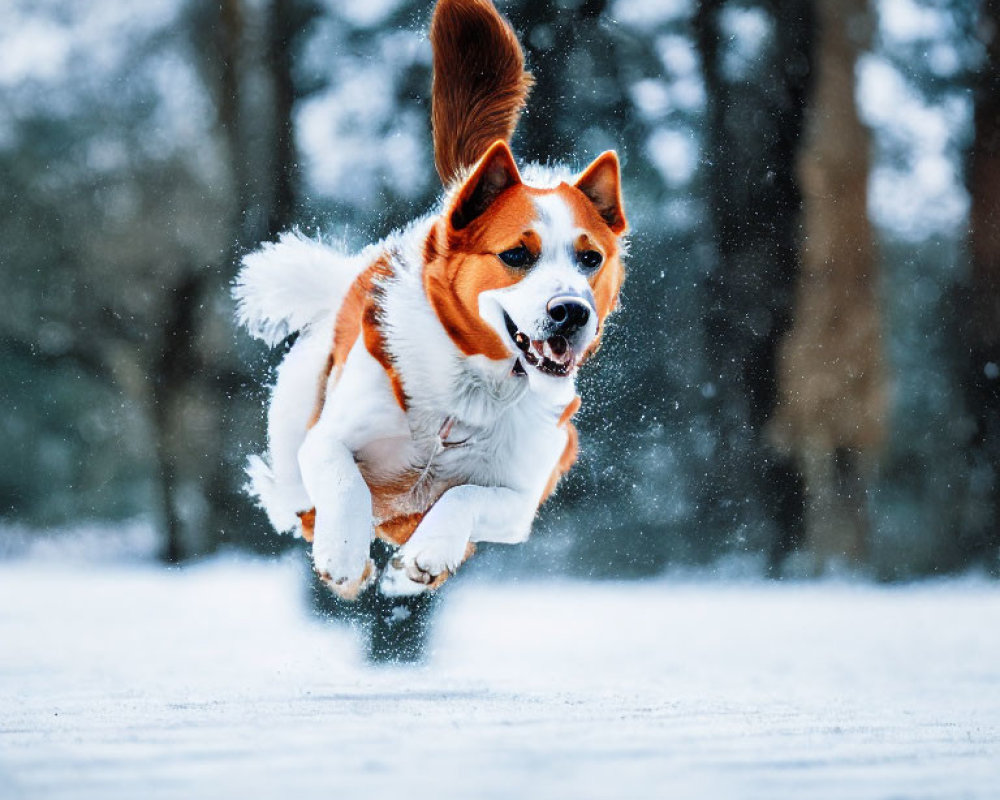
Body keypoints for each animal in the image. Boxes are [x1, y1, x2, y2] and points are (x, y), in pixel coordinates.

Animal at [232, 0, 624, 600]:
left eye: (589, 259)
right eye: (517, 254)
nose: (571, 311)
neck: (471, 394)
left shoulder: (520, 500)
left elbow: (464, 495)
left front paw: (423, 559)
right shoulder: (330, 439)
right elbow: (345, 479)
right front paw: (343, 557)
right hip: (296, 410)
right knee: (297, 495)